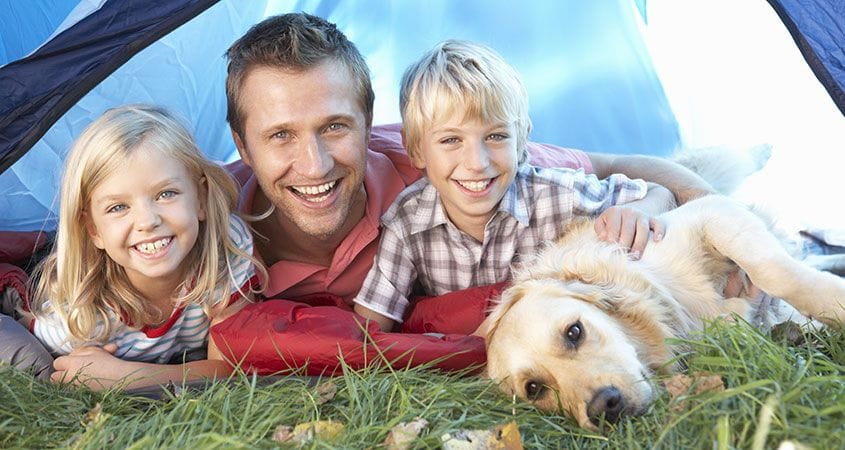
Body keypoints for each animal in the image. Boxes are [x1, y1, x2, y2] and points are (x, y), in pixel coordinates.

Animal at [484, 195, 840, 430]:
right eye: (534, 389)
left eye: (574, 332)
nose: (604, 408)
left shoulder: (710, 214)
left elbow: (773, 273)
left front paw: (837, 304)